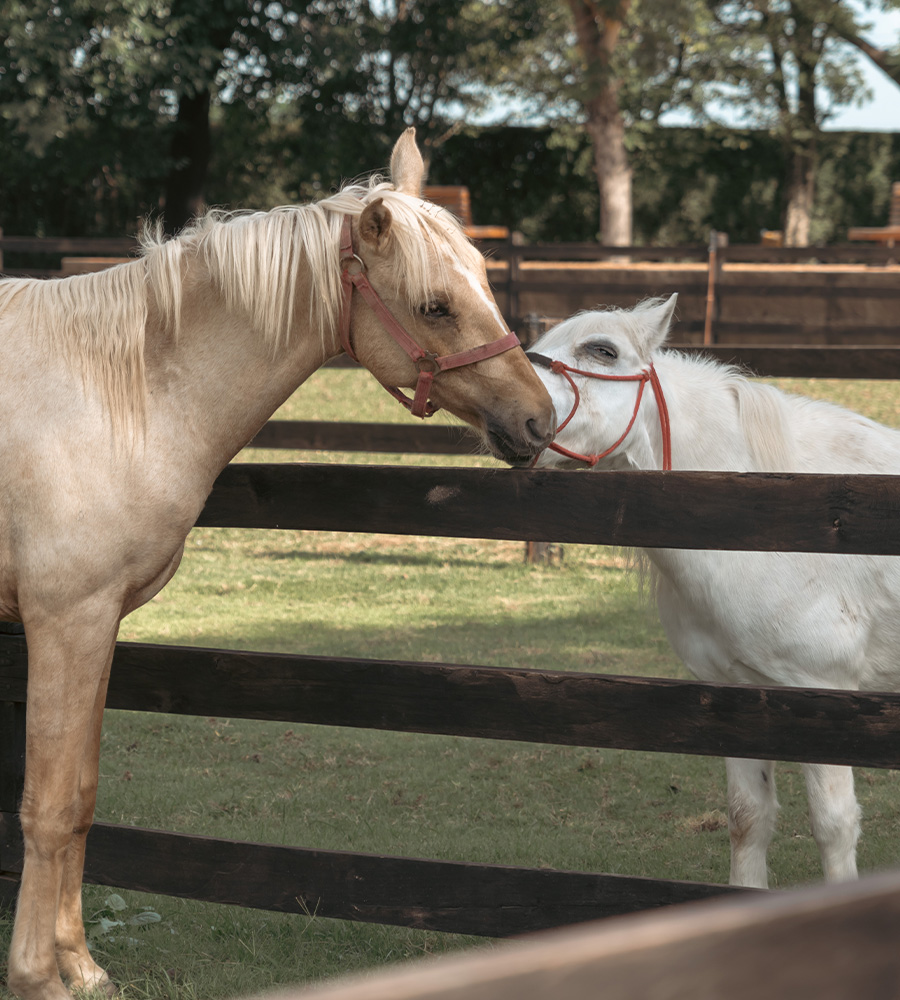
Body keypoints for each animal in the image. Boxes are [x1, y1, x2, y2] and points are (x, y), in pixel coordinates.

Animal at [0, 129, 554, 1000]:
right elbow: (49, 806)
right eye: (436, 305)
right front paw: (36, 977)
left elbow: (82, 797)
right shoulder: (65, 620)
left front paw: (81, 966)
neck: (114, 390)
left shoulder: (96, 625)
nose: (539, 420)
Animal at [526, 293, 900, 891]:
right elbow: (748, 820)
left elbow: (834, 827)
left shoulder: (826, 694)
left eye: (602, 351)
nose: (506, 407)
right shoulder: (737, 693)